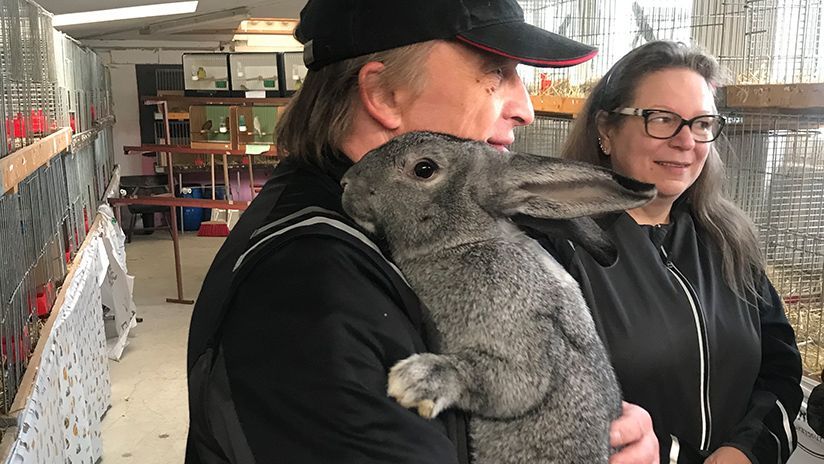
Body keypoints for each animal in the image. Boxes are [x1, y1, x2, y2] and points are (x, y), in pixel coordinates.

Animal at [338, 131, 652, 464]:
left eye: (424, 169)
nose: (346, 181)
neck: (467, 240)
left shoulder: (518, 339)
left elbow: (505, 380)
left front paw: (414, 381)